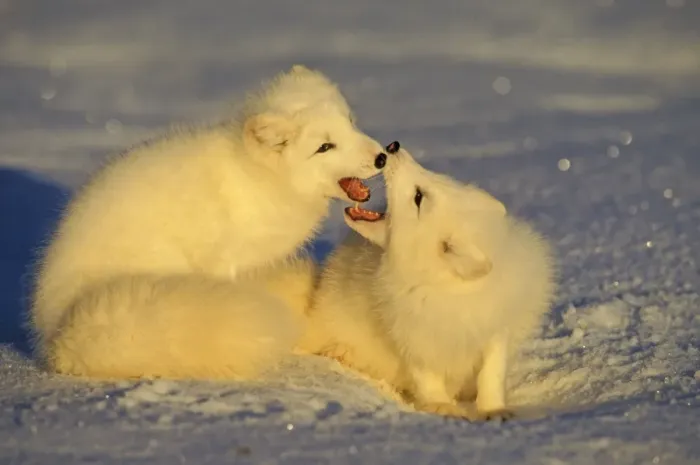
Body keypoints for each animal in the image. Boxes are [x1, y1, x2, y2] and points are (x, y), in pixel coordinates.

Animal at [30, 65, 388, 380]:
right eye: (324, 147)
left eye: (350, 122)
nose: (383, 156)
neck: (256, 178)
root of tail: (57, 332)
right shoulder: (223, 260)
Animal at [303, 141, 556, 420]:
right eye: (433, 178)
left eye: (418, 198)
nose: (393, 146)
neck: (448, 290)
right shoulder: (412, 334)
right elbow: (427, 377)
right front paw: (442, 407)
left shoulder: (494, 330)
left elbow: (492, 374)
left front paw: (494, 410)